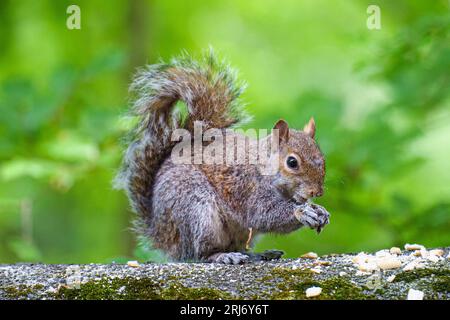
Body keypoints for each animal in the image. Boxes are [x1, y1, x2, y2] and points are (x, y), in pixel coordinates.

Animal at [114, 50, 328, 264]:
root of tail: (160, 233)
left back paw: (259, 254)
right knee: (201, 253)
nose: (316, 192)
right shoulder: (248, 187)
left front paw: (320, 211)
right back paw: (223, 256)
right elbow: (264, 214)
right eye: (292, 162)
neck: (263, 165)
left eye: (322, 158)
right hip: (196, 208)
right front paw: (302, 212)